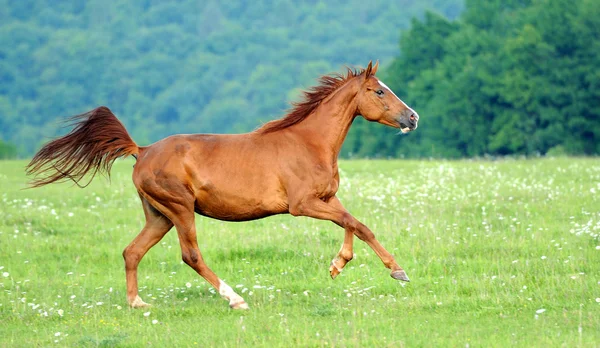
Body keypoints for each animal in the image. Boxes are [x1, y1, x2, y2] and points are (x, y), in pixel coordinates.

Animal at [27, 61, 418, 308]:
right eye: (379, 91)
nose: (412, 117)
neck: (308, 142)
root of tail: (143, 150)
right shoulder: (302, 205)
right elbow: (354, 222)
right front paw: (397, 271)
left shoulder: (327, 198)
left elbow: (356, 224)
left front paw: (341, 265)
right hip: (180, 209)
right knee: (191, 255)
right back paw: (235, 299)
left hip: (159, 215)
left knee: (132, 252)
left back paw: (137, 303)